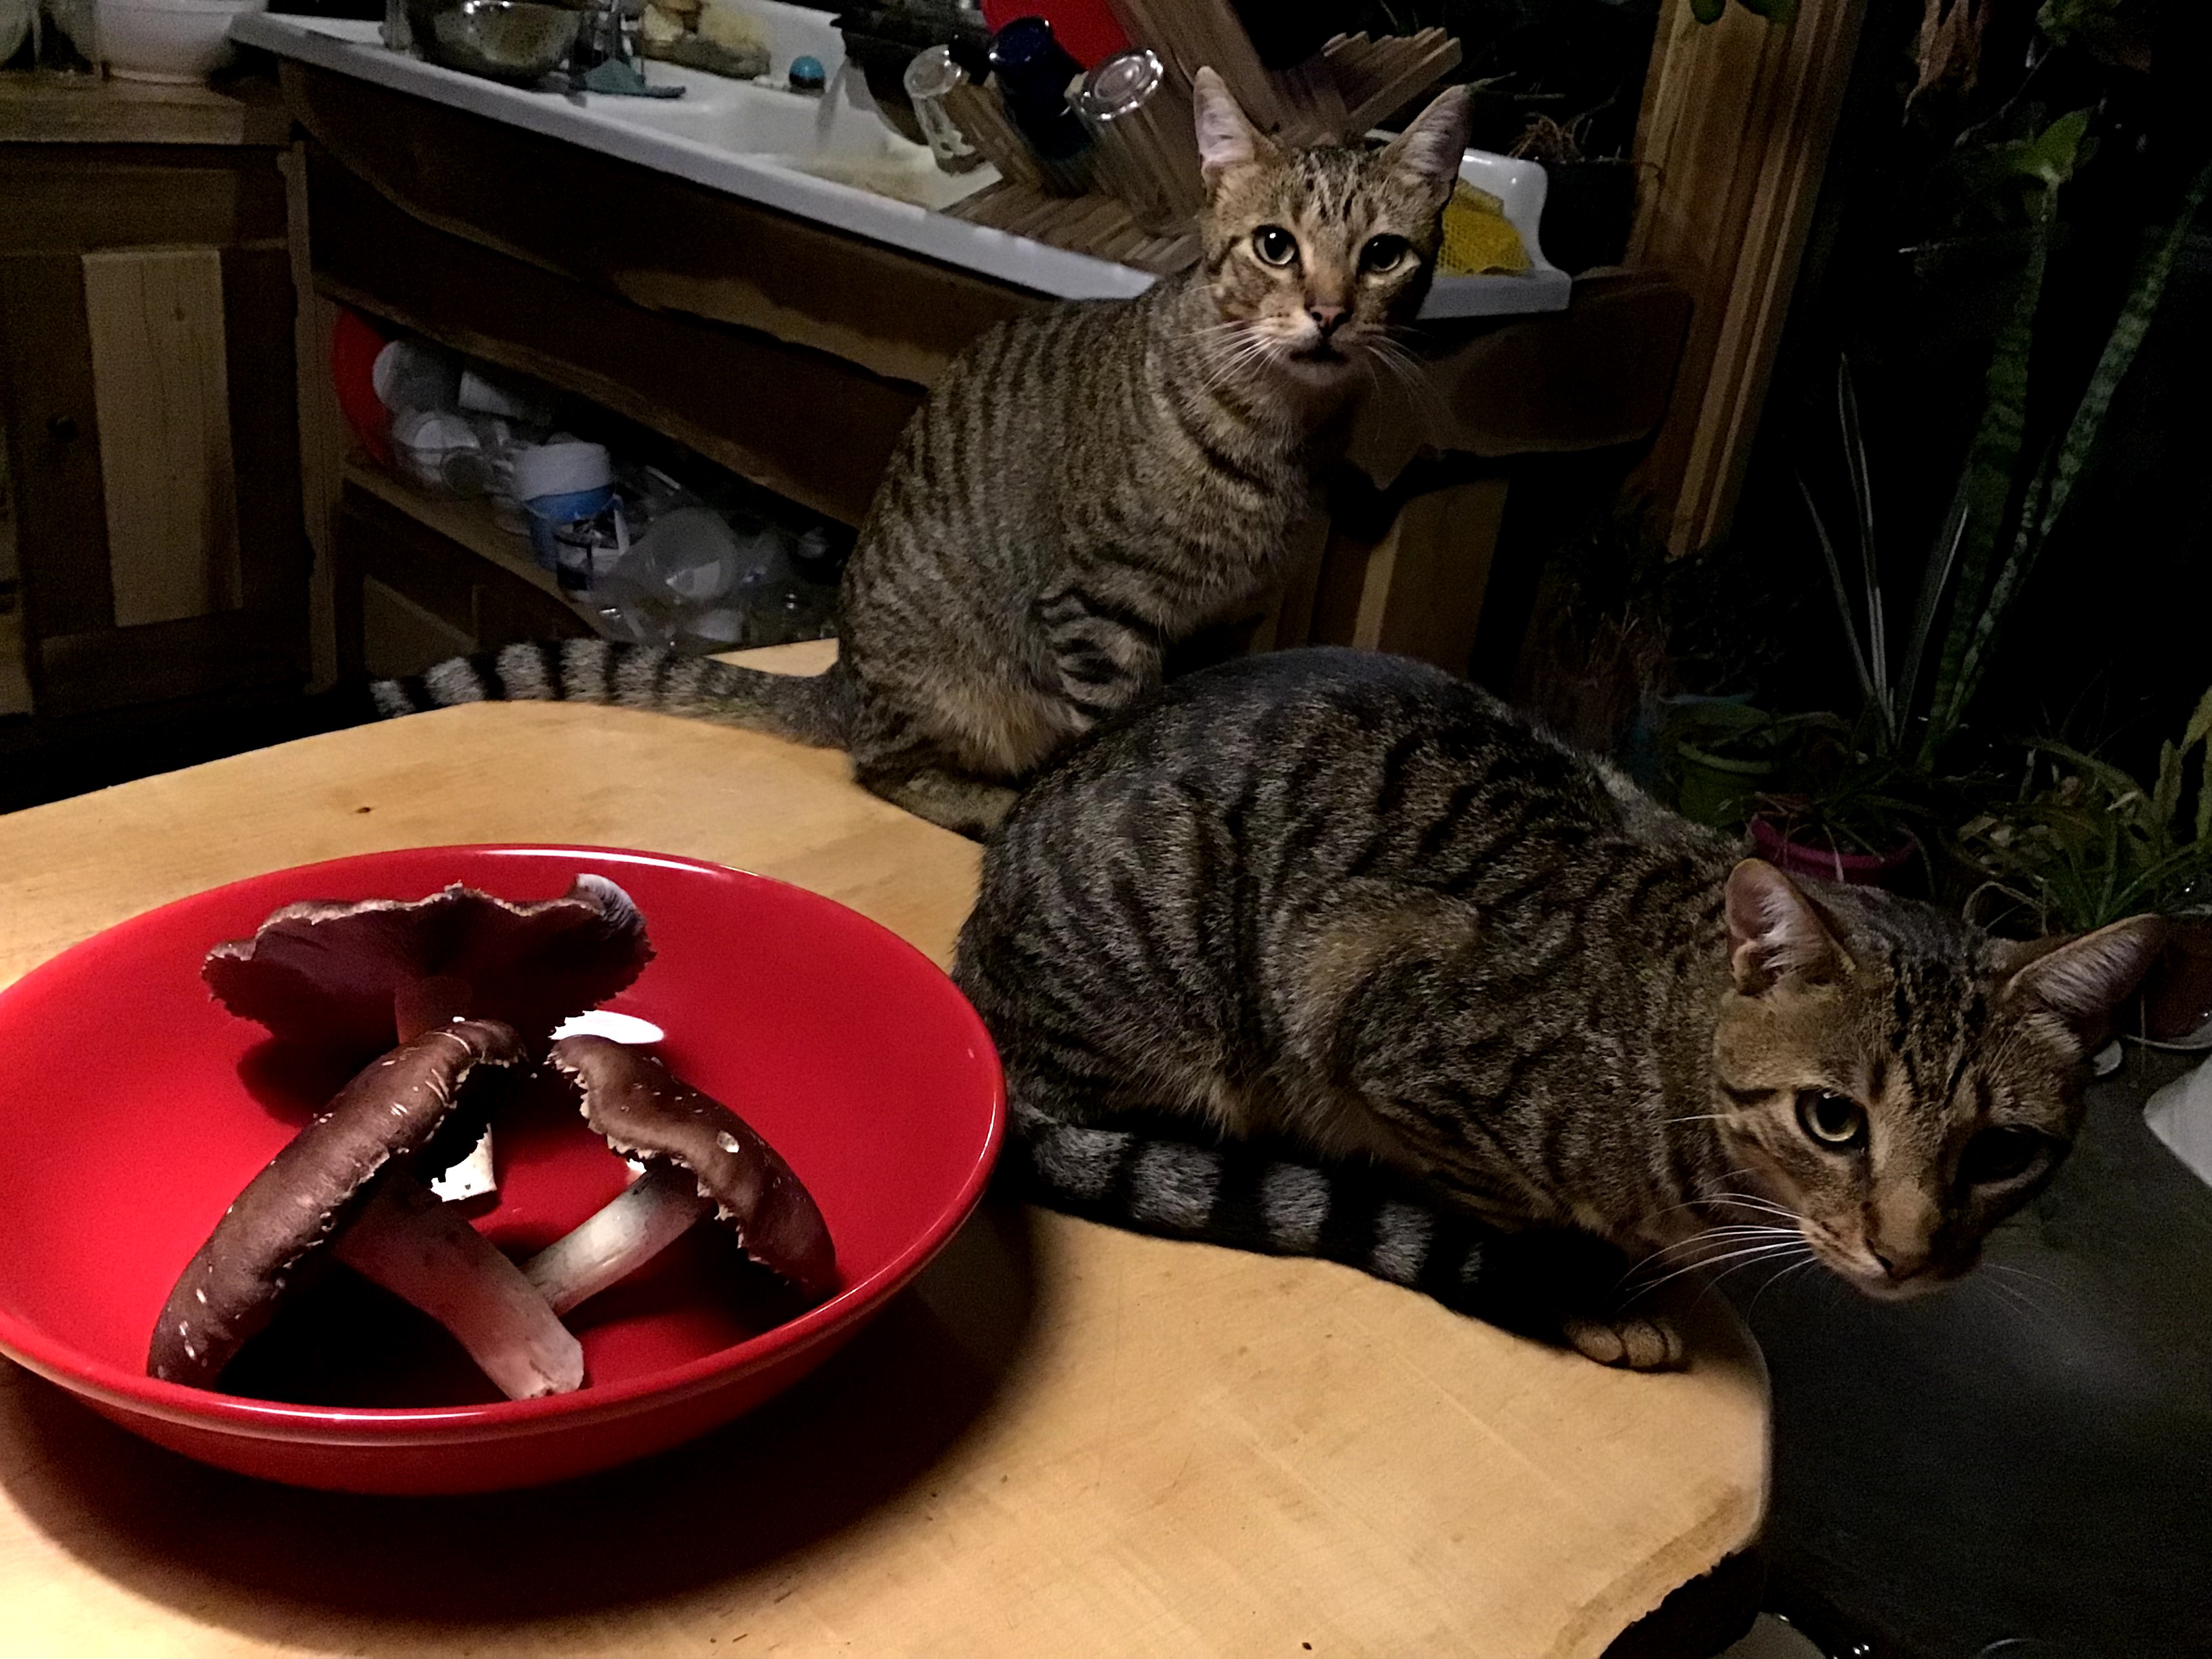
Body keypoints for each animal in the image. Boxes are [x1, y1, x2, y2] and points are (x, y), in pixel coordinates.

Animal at [370, 71, 1474, 838]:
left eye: (1384, 256)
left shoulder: (1227, 624)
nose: (1329, 314)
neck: (1277, 425)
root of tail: (845, 674)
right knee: (885, 769)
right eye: (1276, 246)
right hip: (952, 679)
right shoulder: (1098, 609)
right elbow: (1111, 734)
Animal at [951, 648, 2165, 1369]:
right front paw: (1585, 1292)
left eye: (2003, 1152)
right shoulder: (1375, 1021)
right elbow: (1509, 1215)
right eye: (1834, 1121)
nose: (1909, 1255)